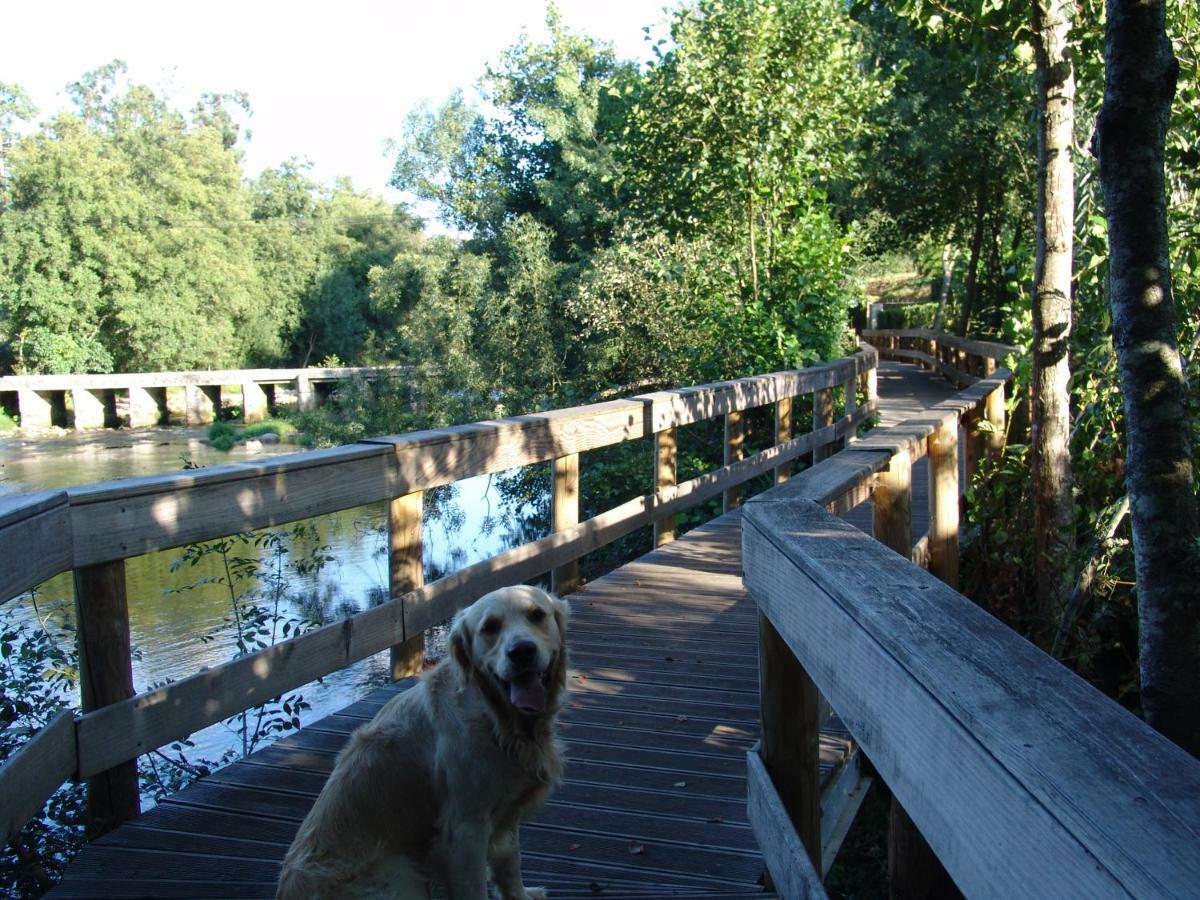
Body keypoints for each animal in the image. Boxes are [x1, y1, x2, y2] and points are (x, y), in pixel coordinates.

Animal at [278, 588, 568, 897]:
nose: (522, 652)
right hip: (401, 873)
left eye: (536, 614)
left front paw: (522, 894)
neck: (495, 717)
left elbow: (510, 866)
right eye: (490, 627)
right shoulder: (465, 830)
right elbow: (475, 887)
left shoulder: (507, 811)